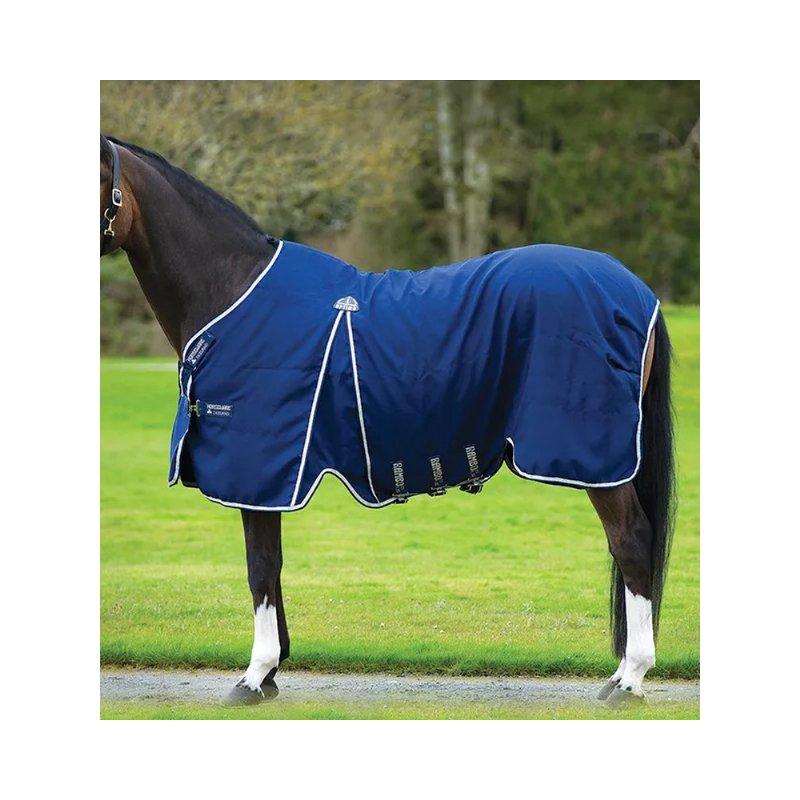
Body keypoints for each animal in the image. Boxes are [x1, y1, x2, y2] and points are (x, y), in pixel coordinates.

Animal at [100, 134, 674, 706]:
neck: (233, 291)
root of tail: (639, 291)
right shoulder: (268, 481)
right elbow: (273, 567)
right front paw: (272, 672)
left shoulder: (260, 471)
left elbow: (259, 568)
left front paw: (253, 676)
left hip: (598, 460)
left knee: (630, 542)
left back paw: (630, 679)